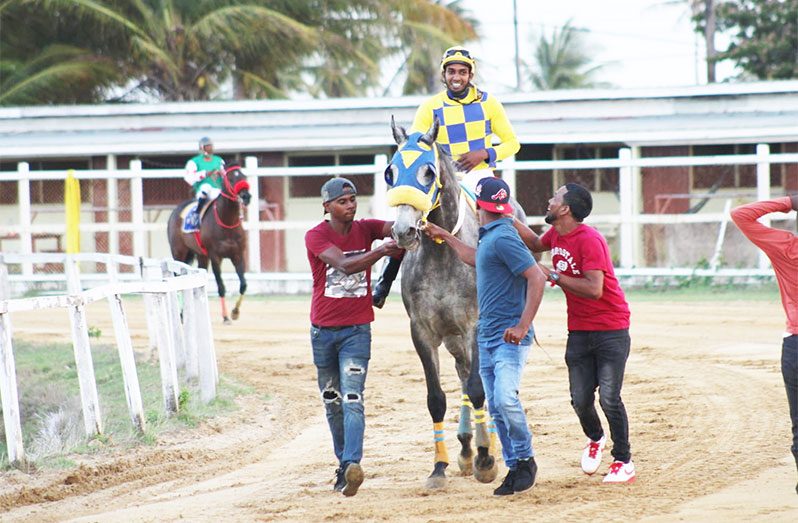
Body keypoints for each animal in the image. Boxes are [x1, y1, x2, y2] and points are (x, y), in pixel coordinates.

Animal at [168, 164, 253, 324]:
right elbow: (221, 287)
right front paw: (225, 316)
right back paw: (181, 314)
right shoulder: (215, 257)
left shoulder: (238, 255)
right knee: (178, 279)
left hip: (201, 256)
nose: (246, 196)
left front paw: (235, 312)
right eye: (231, 178)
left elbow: (244, 285)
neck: (227, 222)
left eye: (244, 176)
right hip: (179, 252)